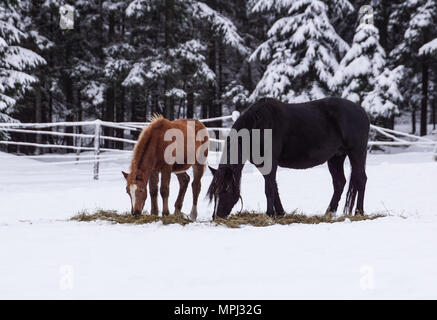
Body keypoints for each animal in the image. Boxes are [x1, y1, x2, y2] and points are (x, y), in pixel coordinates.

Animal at [207, 96, 368, 219]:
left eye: (226, 189)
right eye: (215, 193)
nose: (216, 217)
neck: (258, 126)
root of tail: (362, 111)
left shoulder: (270, 163)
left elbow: (269, 189)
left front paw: (270, 214)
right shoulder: (264, 165)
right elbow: (274, 187)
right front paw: (280, 213)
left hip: (356, 152)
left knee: (361, 179)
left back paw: (359, 212)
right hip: (336, 157)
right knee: (339, 182)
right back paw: (329, 212)